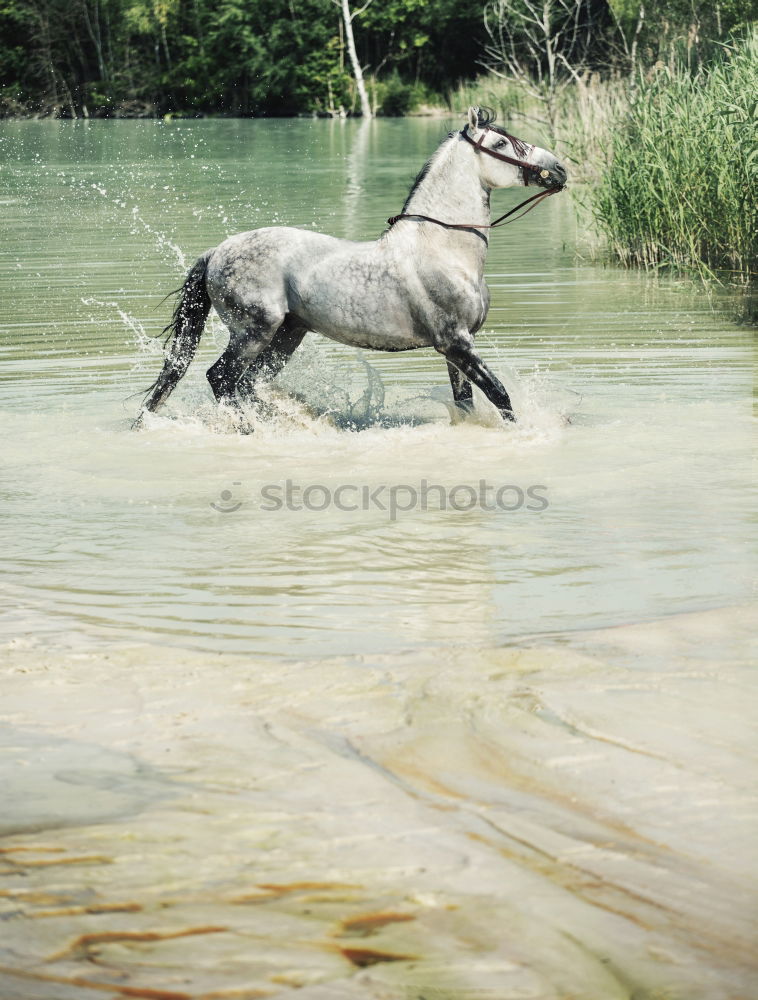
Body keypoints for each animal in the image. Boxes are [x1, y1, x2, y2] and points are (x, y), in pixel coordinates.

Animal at [137, 105, 568, 426]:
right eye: (500, 142)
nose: (560, 169)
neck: (444, 249)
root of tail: (217, 251)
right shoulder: (456, 343)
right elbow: (500, 396)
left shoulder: (456, 349)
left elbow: (467, 404)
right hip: (252, 331)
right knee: (222, 379)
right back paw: (251, 430)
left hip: (287, 335)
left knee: (247, 385)